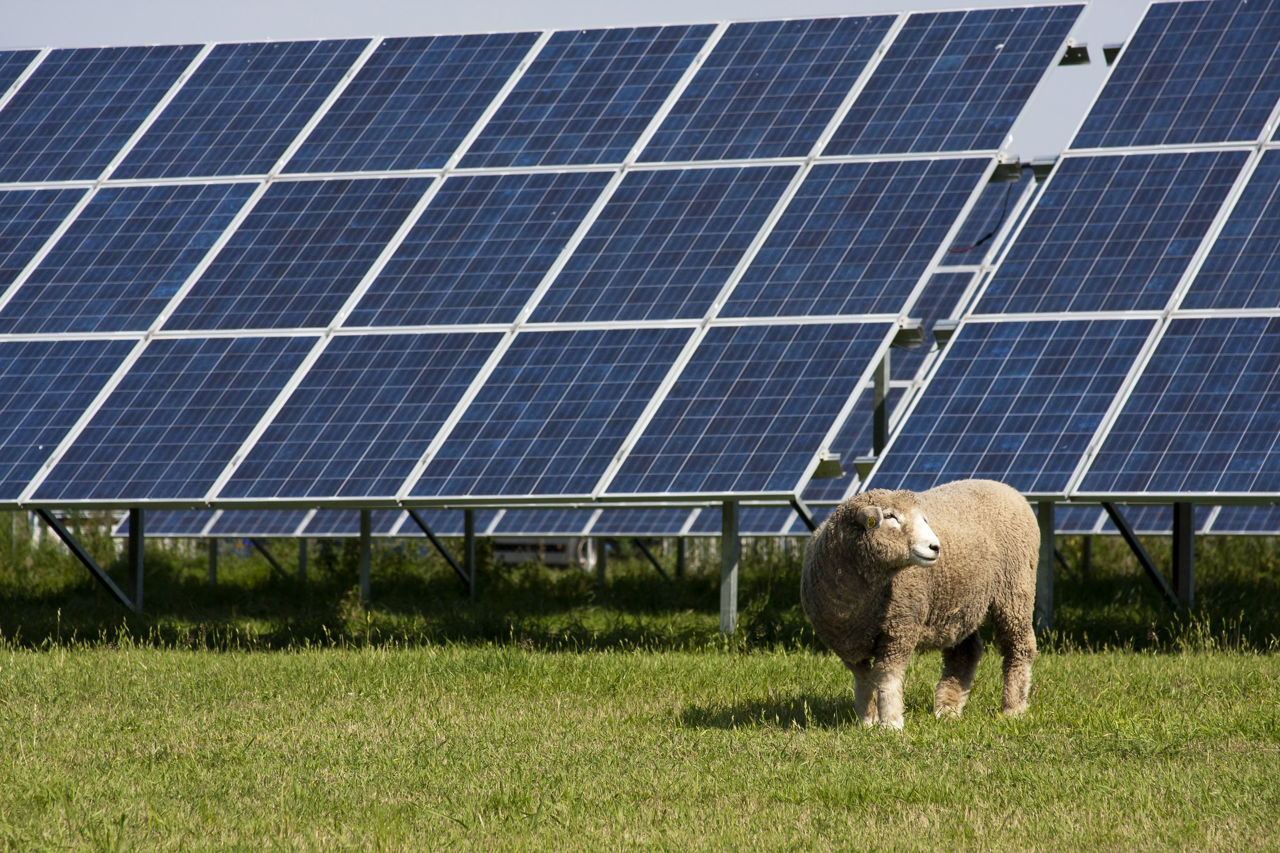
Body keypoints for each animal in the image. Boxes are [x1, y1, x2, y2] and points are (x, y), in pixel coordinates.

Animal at [801, 478, 1038, 730]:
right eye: (890, 516)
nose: (936, 547)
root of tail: (1005, 487)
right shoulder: (846, 645)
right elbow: (863, 680)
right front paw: (867, 721)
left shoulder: (900, 628)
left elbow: (887, 676)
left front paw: (890, 724)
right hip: (958, 602)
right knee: (965, 652)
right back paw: (948, 708)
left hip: (1015, 589)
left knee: (1019, 646)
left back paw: (1013, 708)